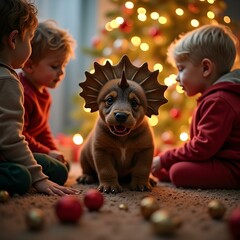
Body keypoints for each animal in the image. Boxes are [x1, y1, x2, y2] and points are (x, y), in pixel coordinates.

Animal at [77, 55, 167, 193]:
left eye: (134, 102)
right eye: (109, 100)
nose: (121, 115)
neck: (123, 138)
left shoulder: (145, 150)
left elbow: (142, 169)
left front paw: (141, 184)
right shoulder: (101, 150)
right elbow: (106, 170)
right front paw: (109, 186)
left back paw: (151, 180)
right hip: (83, 155)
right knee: (87, 169)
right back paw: (85, 177)